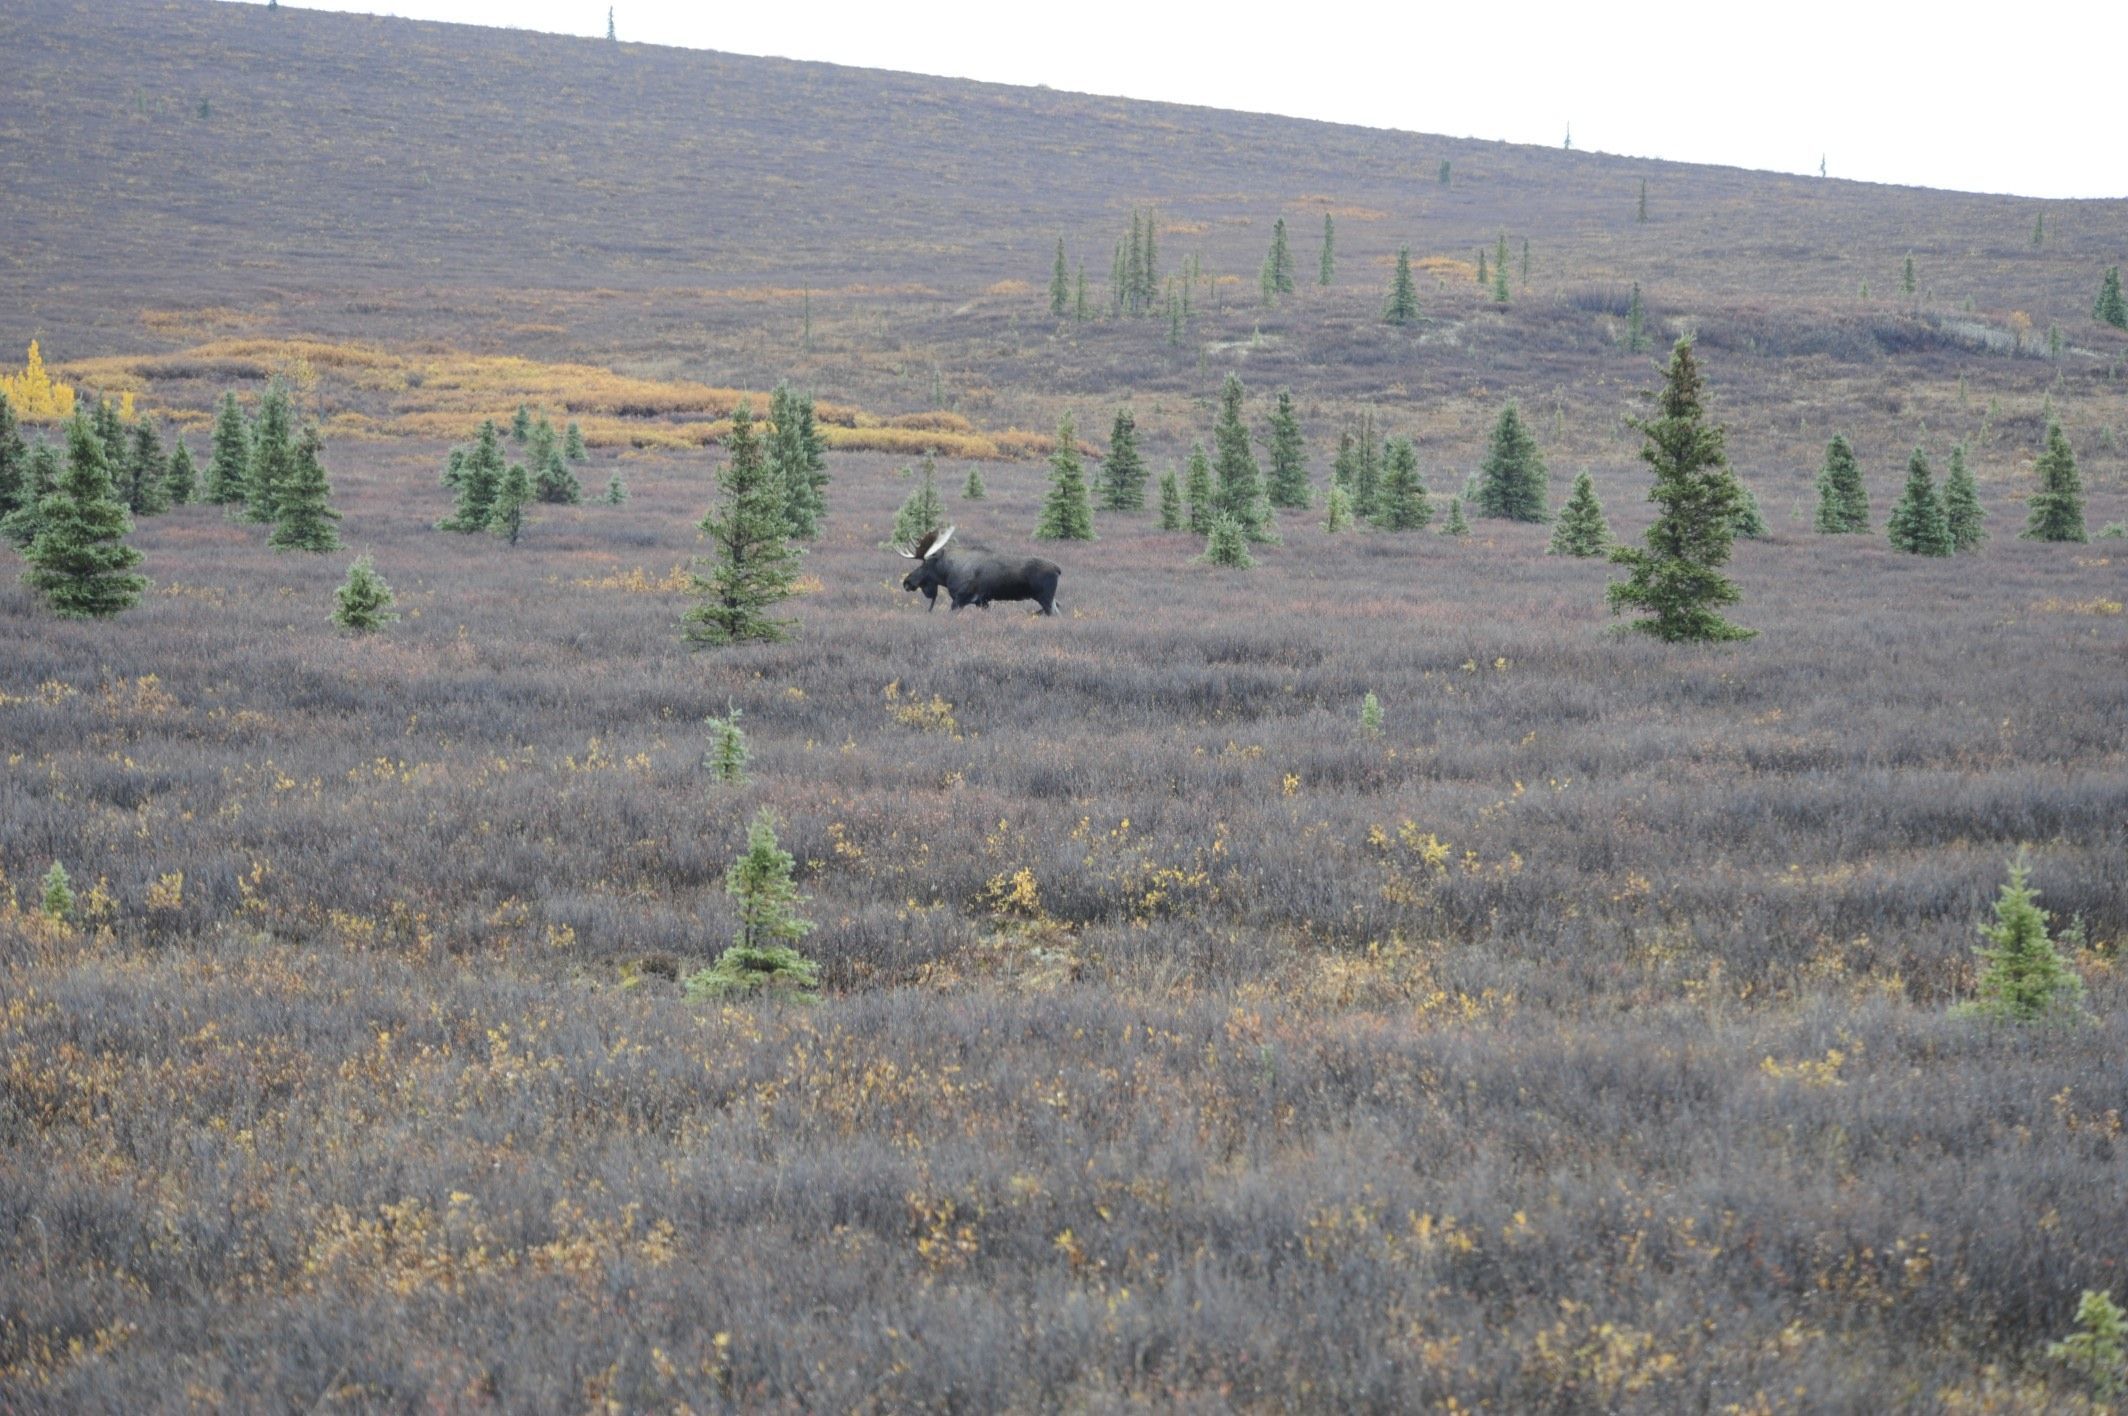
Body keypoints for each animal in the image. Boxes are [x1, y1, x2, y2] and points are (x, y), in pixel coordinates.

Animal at [893, 528, 1064, 617]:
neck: (947, 573)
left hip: (1045, 598)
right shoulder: (982, 601)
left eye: (924, 564)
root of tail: (1058, 569)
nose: (907, 581)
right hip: (1050, 599)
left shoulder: (960, 599)